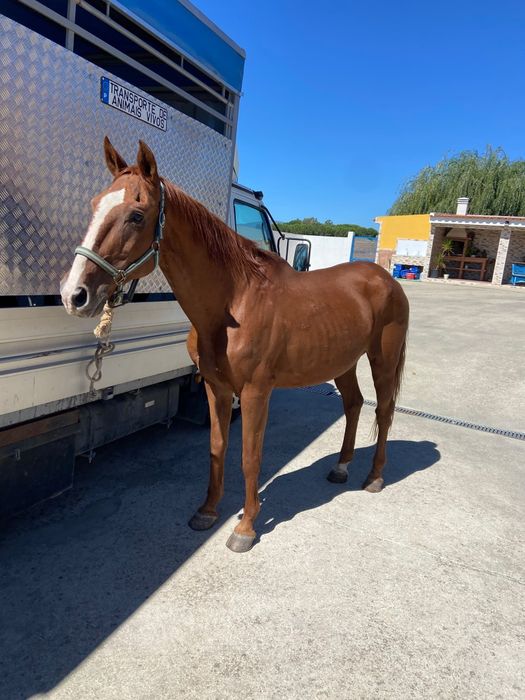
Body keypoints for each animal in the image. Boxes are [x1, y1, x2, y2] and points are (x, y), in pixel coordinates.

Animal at [61, 138, 409, 553]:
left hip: (382, 358)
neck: (233, 302)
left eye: (137, 215)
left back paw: (374, 477)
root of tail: (385, 278)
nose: (74, 294)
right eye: (95, 204)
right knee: (354, 404)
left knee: (384, 410)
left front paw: (245, 527)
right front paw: (207, 511)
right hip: (343, 362)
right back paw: (340, 468)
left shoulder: (256, 392)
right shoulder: (216, 387)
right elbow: (217, 447)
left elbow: (249, 456)